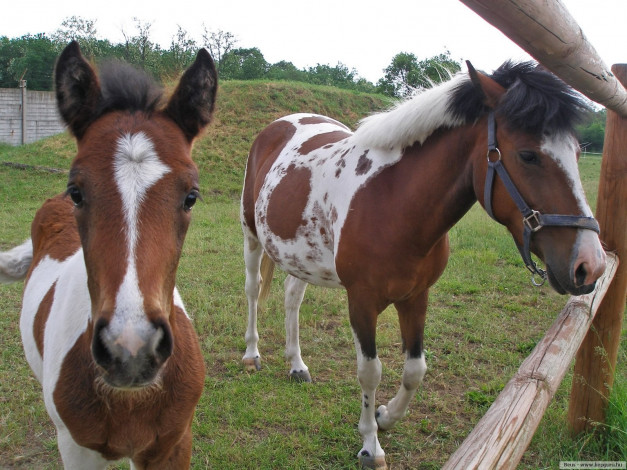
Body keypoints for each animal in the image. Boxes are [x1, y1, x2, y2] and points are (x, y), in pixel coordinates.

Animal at [0, 42, 218, 468]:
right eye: (77, 192)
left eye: (191, 196)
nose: (130, 350)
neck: (130, 402)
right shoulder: (78, 449)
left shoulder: (173, 444)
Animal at [238, 60, 604, 468]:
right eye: (528, 155)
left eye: (577, 152)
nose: (590, 264)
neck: (392, 201)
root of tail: (278, 125)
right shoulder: (361, 302)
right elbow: (370, 372)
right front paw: (370, 444)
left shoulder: (416, 296)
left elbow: (415, 369)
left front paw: (385, 416)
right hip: (251, 237)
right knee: (253, 291)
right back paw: (252, 355)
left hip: (300, 257)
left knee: (292, 299)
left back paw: (297, 365)